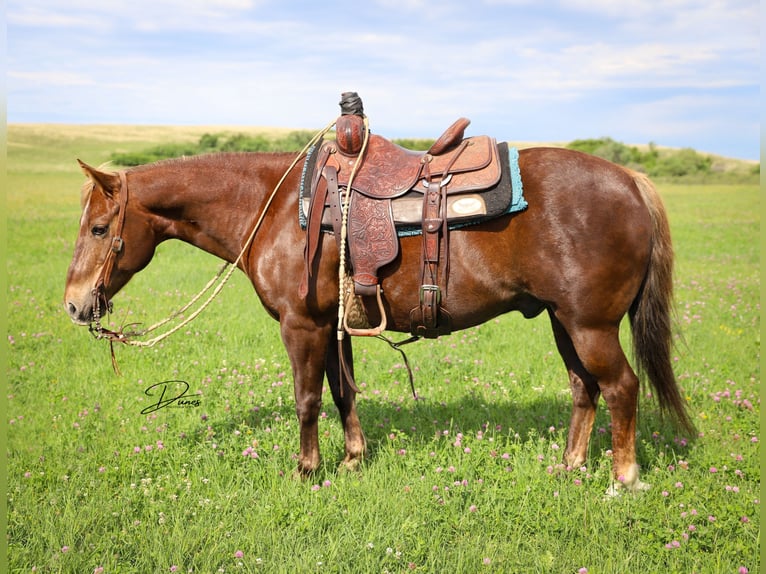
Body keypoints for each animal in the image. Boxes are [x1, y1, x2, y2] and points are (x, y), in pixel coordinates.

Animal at [63, 146, 692, 492]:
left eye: (99, 228)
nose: (73, 304)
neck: (275, 207)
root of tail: (630, 179)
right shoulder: (334, 325)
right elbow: (343, 392)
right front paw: (352, 459)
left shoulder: (302, 325)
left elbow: (307, 398)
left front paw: (306, 469)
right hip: (565, 322)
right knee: (585, 388)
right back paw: (569, 467)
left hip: (591, 326)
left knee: (621, 386)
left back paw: (622, 479)